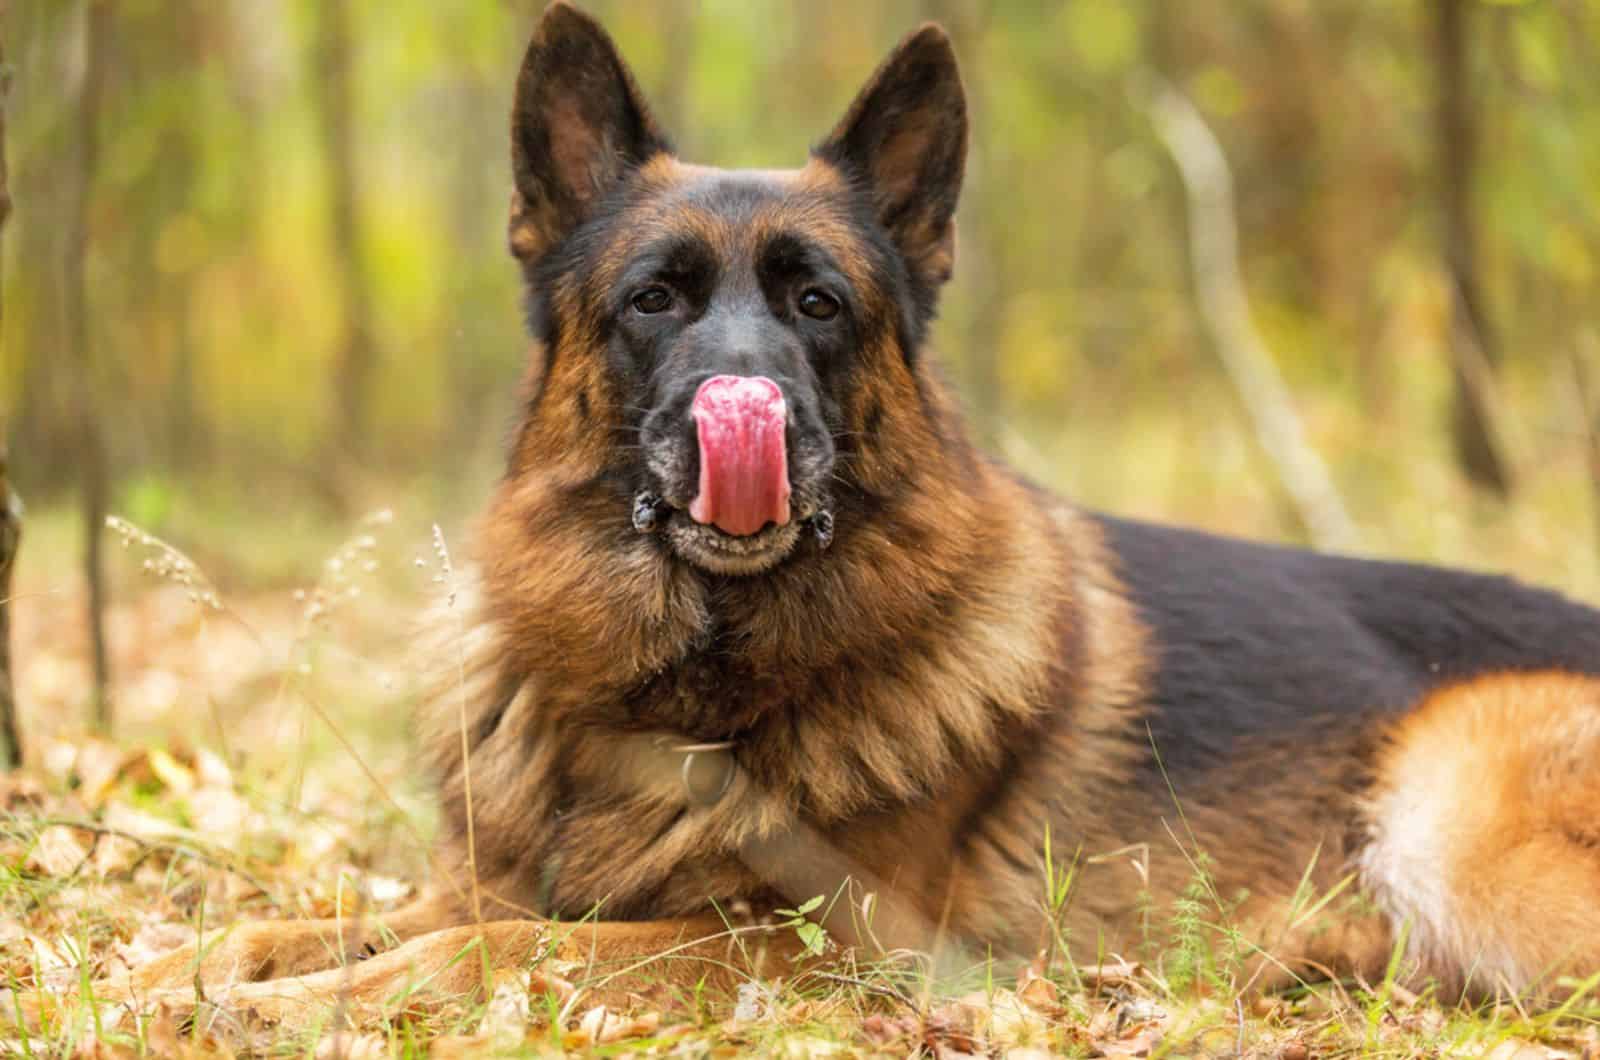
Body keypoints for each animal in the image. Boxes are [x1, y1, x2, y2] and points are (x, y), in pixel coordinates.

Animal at [31, 0, 1600, 1031]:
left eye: (818, 303)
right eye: (654, 299)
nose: (756, 416)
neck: (675, 688)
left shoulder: (807, 946)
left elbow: (503, 957)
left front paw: (318, 1004)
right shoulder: (496, 880)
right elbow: (308, 915)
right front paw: (170, 973)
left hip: (1457, 828)